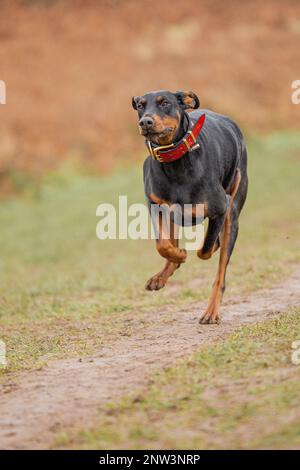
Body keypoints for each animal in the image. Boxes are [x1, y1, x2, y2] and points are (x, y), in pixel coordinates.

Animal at [132, 89, 248, 324]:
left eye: (165, 103)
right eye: (140, 105)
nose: (145, 122)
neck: (174, 162)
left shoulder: (220, 209)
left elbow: (205, 249)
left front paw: (195, 251)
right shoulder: (155, 205)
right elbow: (163, 245)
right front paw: (179, 256)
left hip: (232, 212)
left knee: (220, 271)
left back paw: (211, 312)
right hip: (172, 213)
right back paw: (162, 275)